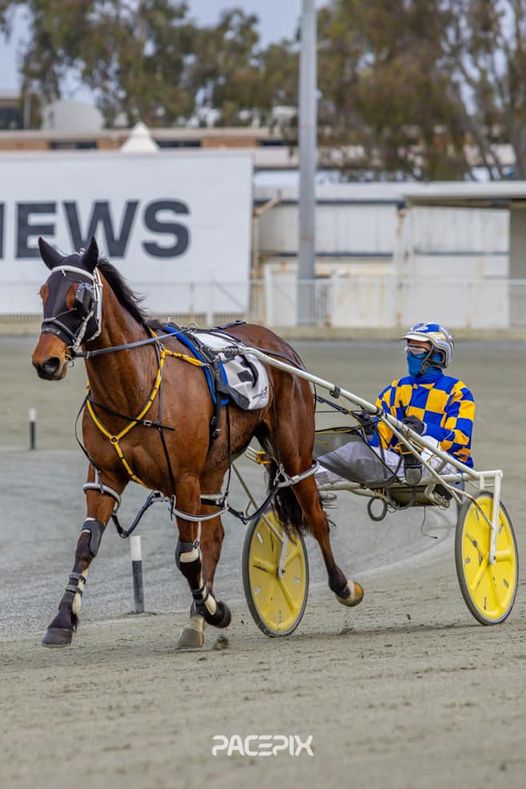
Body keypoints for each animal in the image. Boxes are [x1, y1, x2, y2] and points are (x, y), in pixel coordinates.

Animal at [32, 236, 364, 649]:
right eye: (43, 292)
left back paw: (343, 586)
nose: (46, 361)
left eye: (79, 297)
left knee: (314, 516)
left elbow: (186, 557)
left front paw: (215, 610)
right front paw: (62, 620)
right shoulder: (105, 477)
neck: (137, 386)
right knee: (216, 537)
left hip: (294, 452)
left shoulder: (184, 479)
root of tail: (276, 344)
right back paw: (196, 621)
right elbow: (86, 544)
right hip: (215, 466)